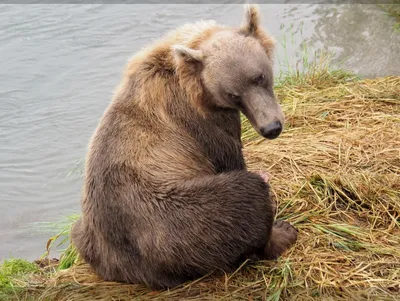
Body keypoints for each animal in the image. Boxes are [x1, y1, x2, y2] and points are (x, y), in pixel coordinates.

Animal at [71, 4, 296, 290]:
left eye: (259, 76)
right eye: (233, 94)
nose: (271, 127)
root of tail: (129, 271)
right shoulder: (202, 125)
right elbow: (230, 158)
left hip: (88, 235)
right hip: (169, 222)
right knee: (241, 197)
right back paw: (282, 232)